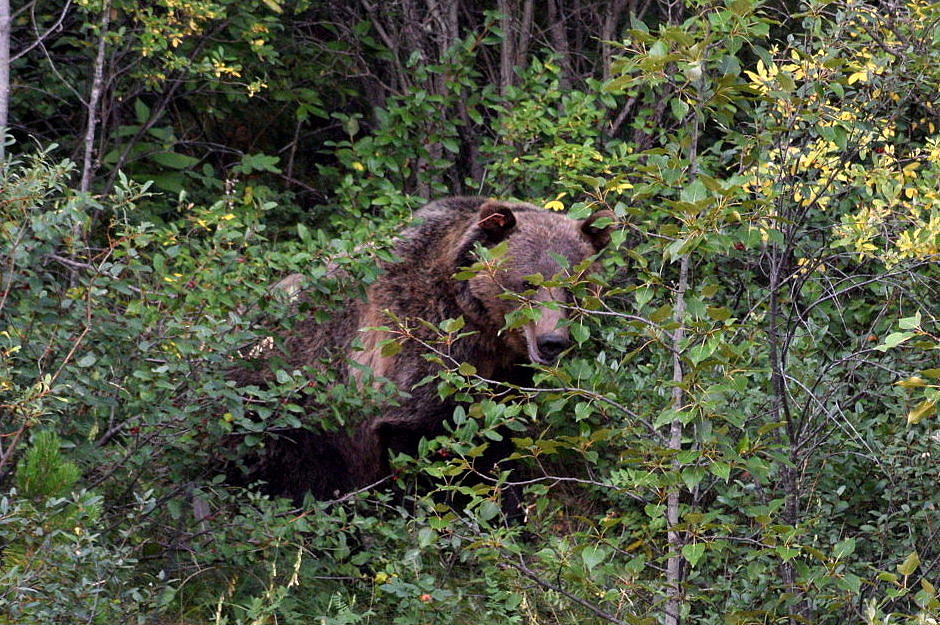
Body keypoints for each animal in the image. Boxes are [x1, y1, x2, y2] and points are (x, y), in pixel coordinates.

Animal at [233, 197, 616, 504]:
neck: (483, 327)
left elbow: (499, 437)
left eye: (574, 287)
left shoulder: (504, 375)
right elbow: (424, 439)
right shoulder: (421, 342)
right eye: (527, 284)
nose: (551, 342)